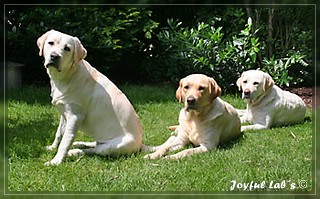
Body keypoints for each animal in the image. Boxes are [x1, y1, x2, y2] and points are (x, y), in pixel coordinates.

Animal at [37, 29, 143, 166]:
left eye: (67, 48)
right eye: (51, 43)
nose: (54, 56)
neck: (67, 76)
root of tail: (140, 144)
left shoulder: (74, 117)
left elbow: (65, 141)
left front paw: (56, 161)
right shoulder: (64, 114)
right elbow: (59, 134)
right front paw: (52, 147)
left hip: (111, 147)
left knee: (93, 150)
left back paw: (74, 151)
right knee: (94, 144)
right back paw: (80, 143)